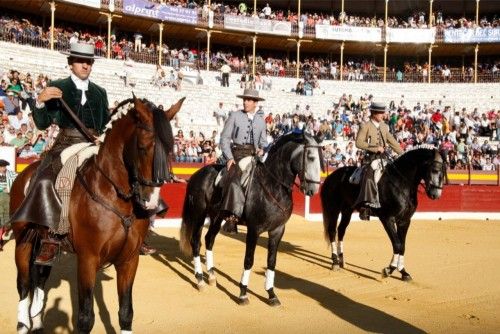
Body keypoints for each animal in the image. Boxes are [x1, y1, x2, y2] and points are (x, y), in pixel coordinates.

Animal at [9, 95, 184, 332]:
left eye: (170, 149)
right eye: (142, 147)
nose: (152, 202)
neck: (115, 196)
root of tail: (24, 174)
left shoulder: (129, 260)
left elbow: (126, 312)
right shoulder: (88, 259)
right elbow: (85, 317)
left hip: (43, 242)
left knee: (40, 276)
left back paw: (36, 322)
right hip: (23, 239)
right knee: (24, 282)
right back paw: (23, 324)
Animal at [180, 132, 324, 306]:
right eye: (310, 157)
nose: (313, 190)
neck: (273, 186)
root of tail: (197, 175)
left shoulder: (278, 230)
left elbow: (272, 261)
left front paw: (271, 294)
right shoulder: (254, 229)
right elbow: (249, 260)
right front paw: (243, 294)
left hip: (216, 217)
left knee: (209, 240)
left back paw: (212, 276)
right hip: (199, 214)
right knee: (196, 241)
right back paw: (200, 279)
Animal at [320, 147, 446, 280]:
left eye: (444, 171)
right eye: (435, 170)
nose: (436, 195)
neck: (401, 182)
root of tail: (331, 176)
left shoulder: (404, 220)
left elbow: (403, 245)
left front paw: (403, 272)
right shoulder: (387, 218)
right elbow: (397, 244)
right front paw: (389, 270)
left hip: (347, 210)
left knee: (341, 230)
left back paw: (342, 260)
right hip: (333, 208)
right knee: (332, 231)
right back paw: (335, 262)